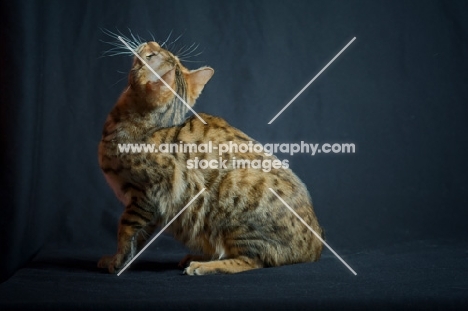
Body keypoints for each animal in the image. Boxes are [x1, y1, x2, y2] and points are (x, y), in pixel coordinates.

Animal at [98, 34, 322, 276]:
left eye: (150, 56)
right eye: (157, 52)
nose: (151, 43)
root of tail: (316, 247)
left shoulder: (146, 195)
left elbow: (126, 229)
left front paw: (117, 261)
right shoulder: (152, 210)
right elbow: (139, 239)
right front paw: (122, 259)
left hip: (235, 194)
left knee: (252, 260)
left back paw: (203, 265)